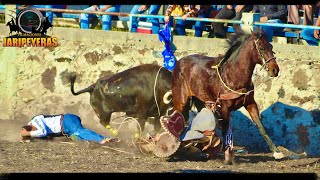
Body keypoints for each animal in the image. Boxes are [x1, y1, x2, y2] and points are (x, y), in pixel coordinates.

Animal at [169, 29, 284, 165]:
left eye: (271, 47)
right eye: (261, 48)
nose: (275, 70)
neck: (233, 75)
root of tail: (179, 62)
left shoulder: (250, 103)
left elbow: (260, 126)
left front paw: (276, 152)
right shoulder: (224, 108)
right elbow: (225, 130)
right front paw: (228, 155)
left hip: (202, 102)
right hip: (181, 101)